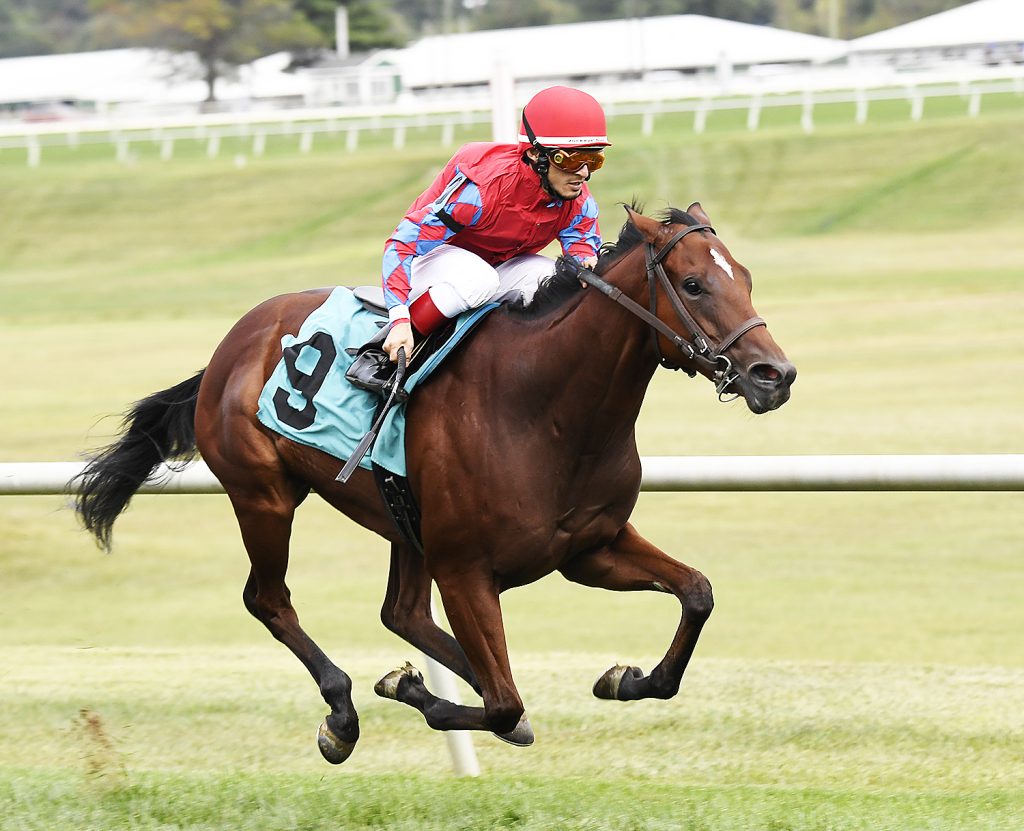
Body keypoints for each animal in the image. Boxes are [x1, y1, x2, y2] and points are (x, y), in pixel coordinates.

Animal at [75, 204, 798, 761]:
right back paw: (341, 714)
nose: (775, 374)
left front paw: (626, 677)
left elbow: (697, 593)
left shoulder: (589, 547)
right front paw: (413, 691)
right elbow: (504, 704)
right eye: (695, 284)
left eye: (747, 278)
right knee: (270, 599)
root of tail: (232, 343)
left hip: (405, 522)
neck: (544, 408)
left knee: (402, 612)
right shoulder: (466, 569)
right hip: (264, 495)